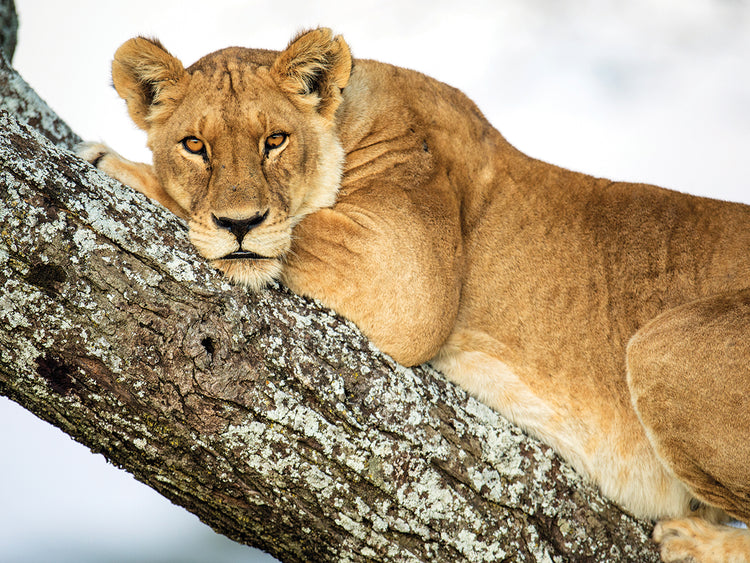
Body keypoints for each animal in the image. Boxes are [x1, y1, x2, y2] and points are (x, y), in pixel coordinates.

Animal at [78, 28, 750, 562]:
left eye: (275, 139)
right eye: (195, 145)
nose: (239, 223)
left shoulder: (405, 271)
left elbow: (298, 229)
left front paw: (113, 162)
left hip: (662, 344)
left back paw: (693, 542)